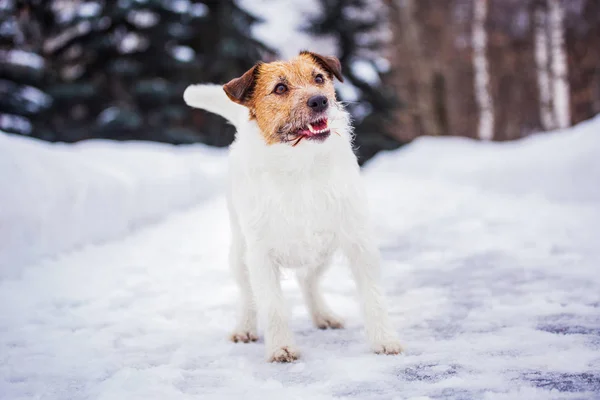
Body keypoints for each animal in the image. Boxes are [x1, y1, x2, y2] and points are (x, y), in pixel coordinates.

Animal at [180, 50, 400, 362]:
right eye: (280, 88)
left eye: (318, 78)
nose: (320, 101)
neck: (302, 168)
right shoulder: (261, 256)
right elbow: (272, 306)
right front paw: (281, 348)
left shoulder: (358, 243)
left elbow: (373, 296)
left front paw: (384, 340)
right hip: (240, 254)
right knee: (248, 294)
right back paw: (245, 327)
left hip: (322, 254)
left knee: (307, 281)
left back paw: (323, 315)